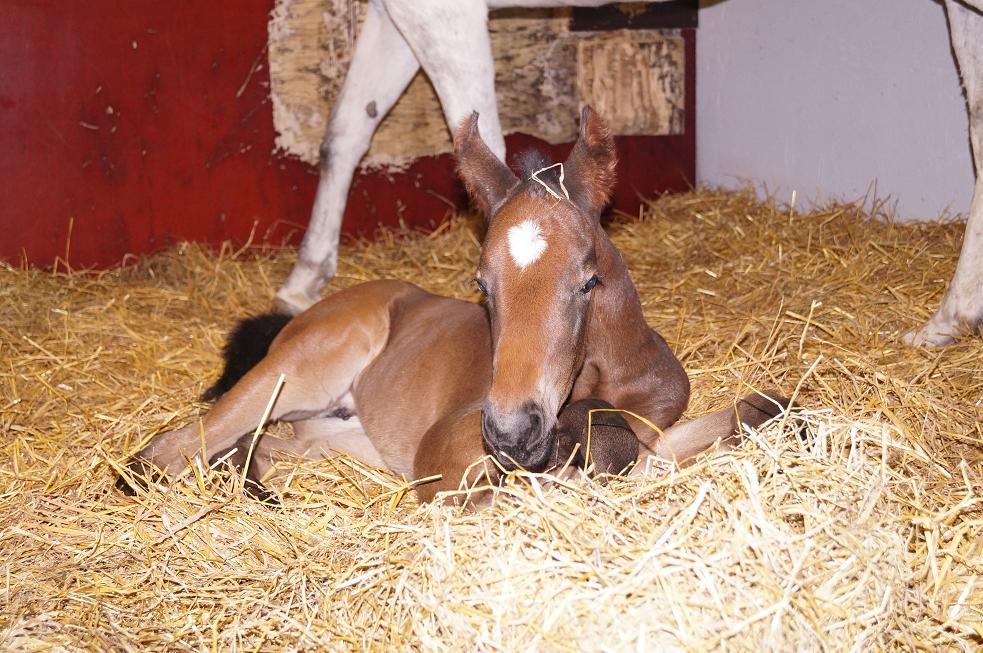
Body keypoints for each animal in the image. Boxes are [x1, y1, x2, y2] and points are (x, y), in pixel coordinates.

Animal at [117, 107, 792, 504]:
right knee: (166, 452)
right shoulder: (443, 456)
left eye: (588, 281)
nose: (513, 433)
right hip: (297, 371)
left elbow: (754, 409)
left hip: (332, 430)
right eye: (482, 285)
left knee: (261, 444)